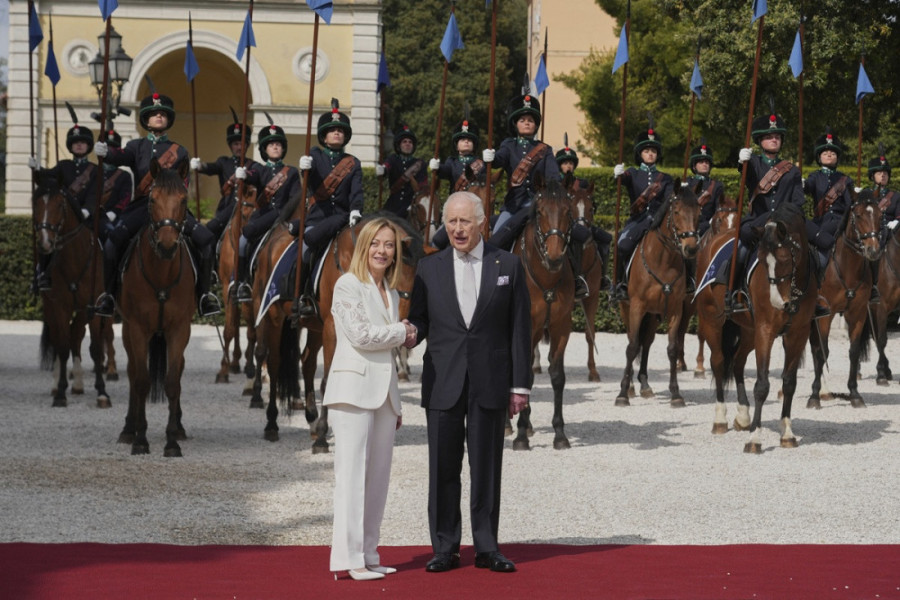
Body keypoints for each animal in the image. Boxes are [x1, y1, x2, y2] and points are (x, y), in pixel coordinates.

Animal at [32, 176, 110, 408]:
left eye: (60, 204)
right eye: (36, 205)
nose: (45, 242)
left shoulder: (94, 308)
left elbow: (95, 348)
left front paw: (102, 392)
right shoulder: (59, 307)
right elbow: (62, 346)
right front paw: (60, 393)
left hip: (84, 311)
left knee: (76, 334)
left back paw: (77, 384)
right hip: (51, 308)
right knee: (61, 340)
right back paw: (59, 383)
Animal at [116, 159, 195, 456]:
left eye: (183, 199)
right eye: (152, 199)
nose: (167, 245)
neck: (161, 273)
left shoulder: (179, 329)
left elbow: (172, 381)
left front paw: (172, 441)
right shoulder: (138, 328)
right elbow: (141, 380)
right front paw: (140, 438)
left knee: (178, 370)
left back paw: (180, 428)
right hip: (127, 329)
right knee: (132, 372)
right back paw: (128, 428)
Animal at [615, 180, 701, 407]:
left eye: (699, 212)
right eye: (677, 211)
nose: (690, 249)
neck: (664, 260)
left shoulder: (675, 310)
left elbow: (672, 349)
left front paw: (676, 393)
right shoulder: (636, 307)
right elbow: (631, 347)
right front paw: (622, 394)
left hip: (653, 315)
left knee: (646, 343)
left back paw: (644, 384)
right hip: (628, 309)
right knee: (633, 340)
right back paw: (631, 387)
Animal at [808, 193, 882, 408]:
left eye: (880, 215)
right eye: (858, 216)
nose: (873, 250)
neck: (847, 267)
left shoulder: (857, 313)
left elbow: (854, 352)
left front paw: (854, 393)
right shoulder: (826, 315)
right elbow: (822, 352)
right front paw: (814, 396)